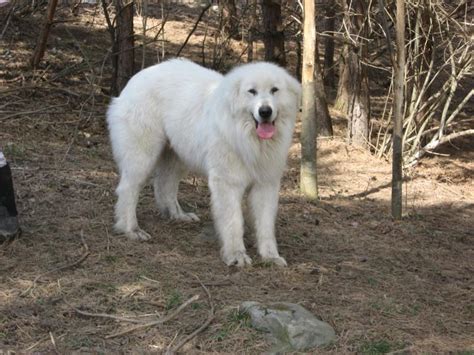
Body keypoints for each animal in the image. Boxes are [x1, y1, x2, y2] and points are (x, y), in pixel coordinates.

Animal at [107, 59, 300, 268]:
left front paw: (270, 256)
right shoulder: (226, 183)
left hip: (177, 156)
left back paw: (178, 215)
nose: (265, 111)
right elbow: (233, 222)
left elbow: (265, 225)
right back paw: (130, 229)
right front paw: (236, 255)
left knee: (165, 184)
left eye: (274, 90)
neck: (248, 137)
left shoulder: (266, 184)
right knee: (128, 189)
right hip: (142, 156)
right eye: (252, 91)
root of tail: (138, 76)